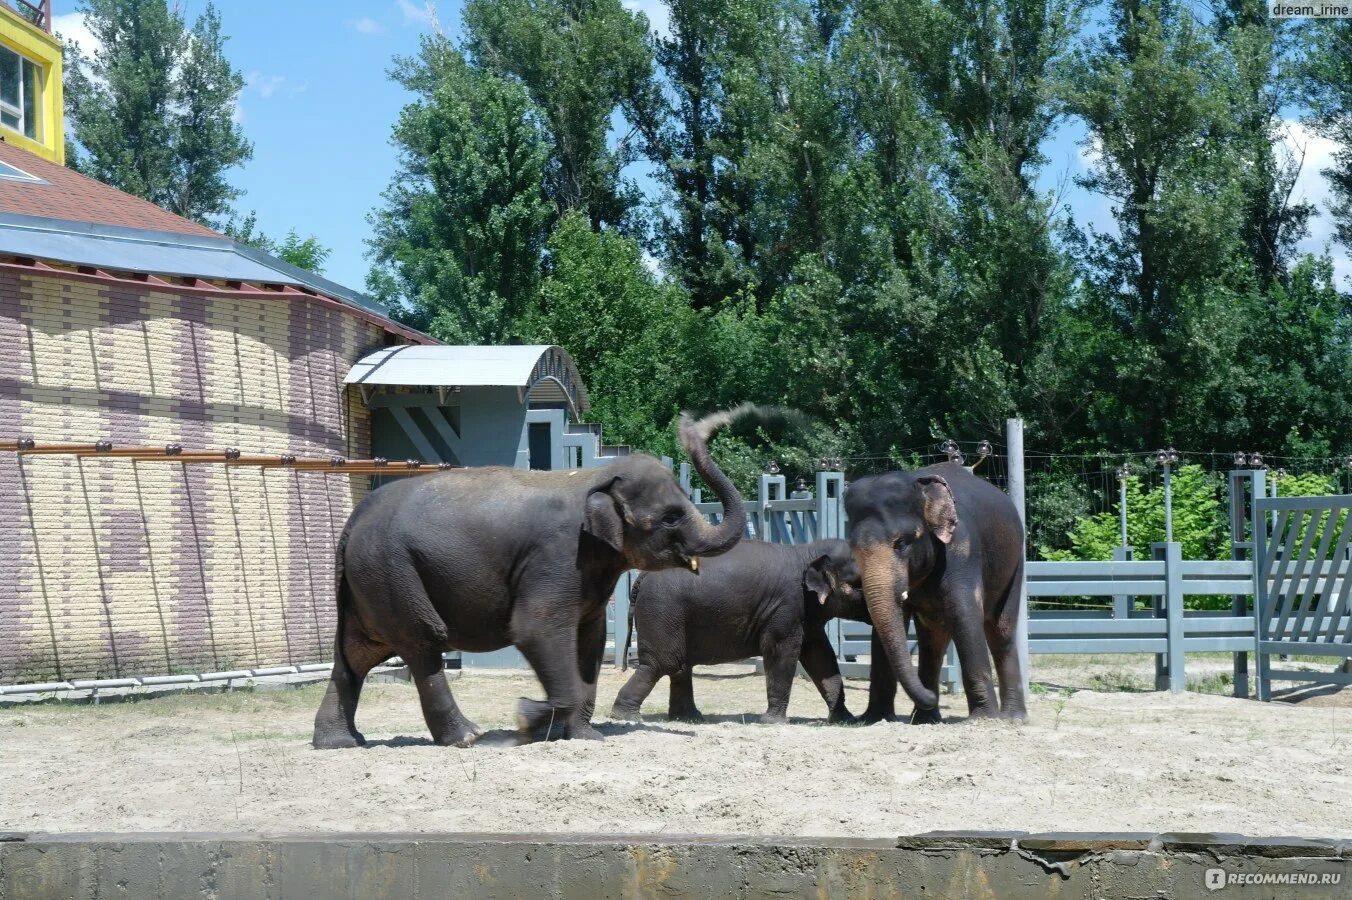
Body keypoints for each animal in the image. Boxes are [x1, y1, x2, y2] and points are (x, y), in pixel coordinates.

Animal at [313, 402, 762, 745]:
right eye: (671, 518)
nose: (699, 423)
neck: (594, 478)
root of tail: (352, 523)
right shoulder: (556, 556)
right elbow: (536, 629)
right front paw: (528, 718)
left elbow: (589, 640)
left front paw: (583, 736)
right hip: (393, 574)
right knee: (423, 645)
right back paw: (467, 737)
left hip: (369, 584)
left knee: (354, 656)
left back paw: (341, 742)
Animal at [613, 532, 865, 724]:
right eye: (859, 583)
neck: (806, 552)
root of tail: (642, 577)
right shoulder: (786, 605)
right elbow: (781, 650)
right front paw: (773, 722)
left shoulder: (808, 614)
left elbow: (820, 657)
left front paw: (845, 720)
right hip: (661, 610)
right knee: (662, 663)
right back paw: (627, 716)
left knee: (679, 666)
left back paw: (688, 718)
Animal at [843, 462, 1022, 724]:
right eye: (853, 549)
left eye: (902, 543)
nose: (929, 696)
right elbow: (890, 623)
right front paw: (874, 718)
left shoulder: (962, 548)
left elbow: (964, 613)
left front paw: (983, 719)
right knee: (933, 639)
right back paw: (926, 719)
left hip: (1015, 564)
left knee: (1001, 632)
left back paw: (1011, 719)